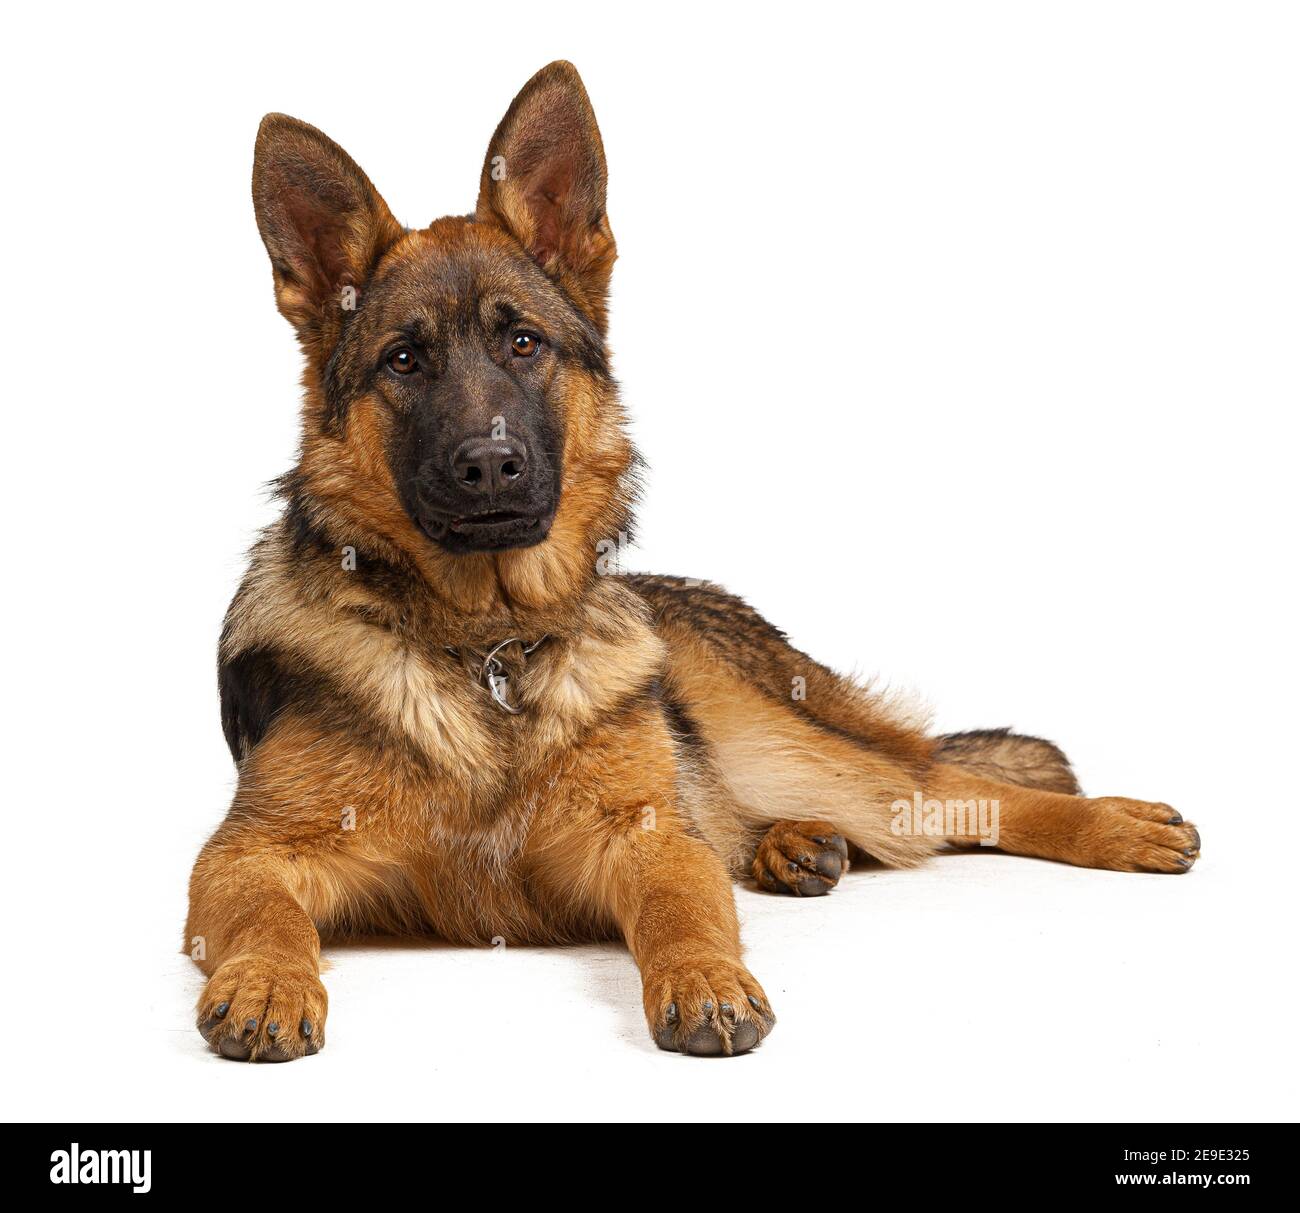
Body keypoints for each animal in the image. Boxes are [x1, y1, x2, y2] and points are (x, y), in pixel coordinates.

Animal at [188, 59, 1201, 1060]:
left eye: (523, 343)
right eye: (403, 361)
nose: (489, 465)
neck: (490, 651)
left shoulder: (649, 839)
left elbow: (684, 905)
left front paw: (704, 976)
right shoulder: (246, 855)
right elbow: (267, 916)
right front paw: (267, 979)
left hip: (808, 754)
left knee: (954, 788)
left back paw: (1110, 823)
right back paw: (791, 844)